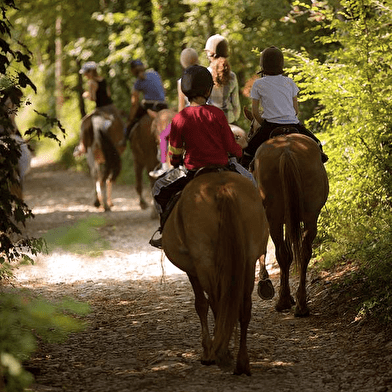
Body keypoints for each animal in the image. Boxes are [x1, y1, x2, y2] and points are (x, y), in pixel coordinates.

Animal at [161, 172, 268, 376]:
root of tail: (223, 189)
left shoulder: (192, 269)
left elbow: (201, 305)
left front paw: (206, 351)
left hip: (205, 262)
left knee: (216, 303)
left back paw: (220, 354)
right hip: (248, 261)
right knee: (243, 307)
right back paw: (241, 362)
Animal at [245, 108, 328, 316]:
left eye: (250, 131)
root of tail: (286, 151)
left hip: (273, 218)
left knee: (282, 253)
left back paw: (283, 301)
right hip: (310, 215)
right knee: (305, 251)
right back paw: (301, 304)